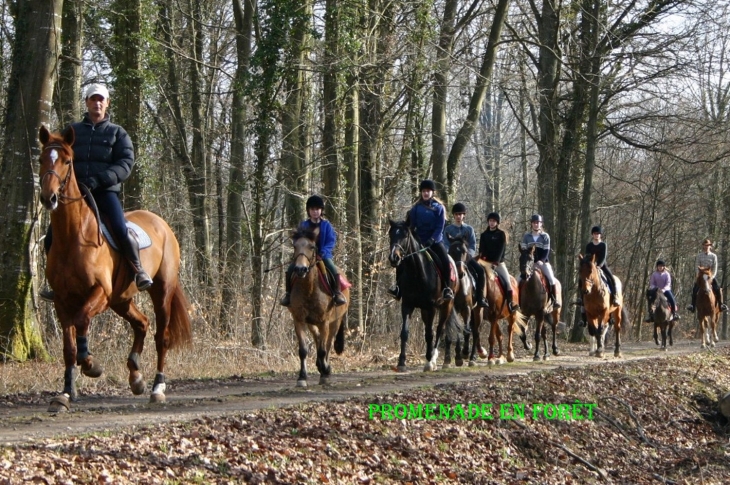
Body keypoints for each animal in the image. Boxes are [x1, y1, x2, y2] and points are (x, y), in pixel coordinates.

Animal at [38, 125, 192, 412]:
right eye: (42, 159)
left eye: (67, 161)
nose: (48, 198)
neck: (73, 236)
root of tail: (161, 223)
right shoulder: (62, 300)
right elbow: (68, 348)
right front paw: (64, 394)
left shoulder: (100, 292)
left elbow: (82, 320)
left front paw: (91, 364)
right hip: (122, 300)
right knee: (141, 323)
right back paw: (136, 377)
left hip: (161, 292)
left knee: (161, 337)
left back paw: (157, 388)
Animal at [284, 227, 346, 386]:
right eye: (295, 246)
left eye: (312, 247)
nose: (300, 269)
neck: (309, 288)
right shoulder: (299, 320)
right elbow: (303, 350)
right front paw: (302, 377)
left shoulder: (324, 321)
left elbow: (324, 349)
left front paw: (325, 372)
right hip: (311, 323)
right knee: (318, 338)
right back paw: (319, 365)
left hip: (335, 322)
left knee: (327, 344)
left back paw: (325, 368)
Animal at [386, 219, 460, 370]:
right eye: (391, 235)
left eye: (405, 236)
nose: (394, 258)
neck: (417, 273)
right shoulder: (407, 305)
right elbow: (404, 333)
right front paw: (401, 362)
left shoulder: (431, 307)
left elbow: (430, 334)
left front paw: (430, 361)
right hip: (425, 311)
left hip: (446, 306)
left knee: (439, 329)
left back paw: (433, 358)